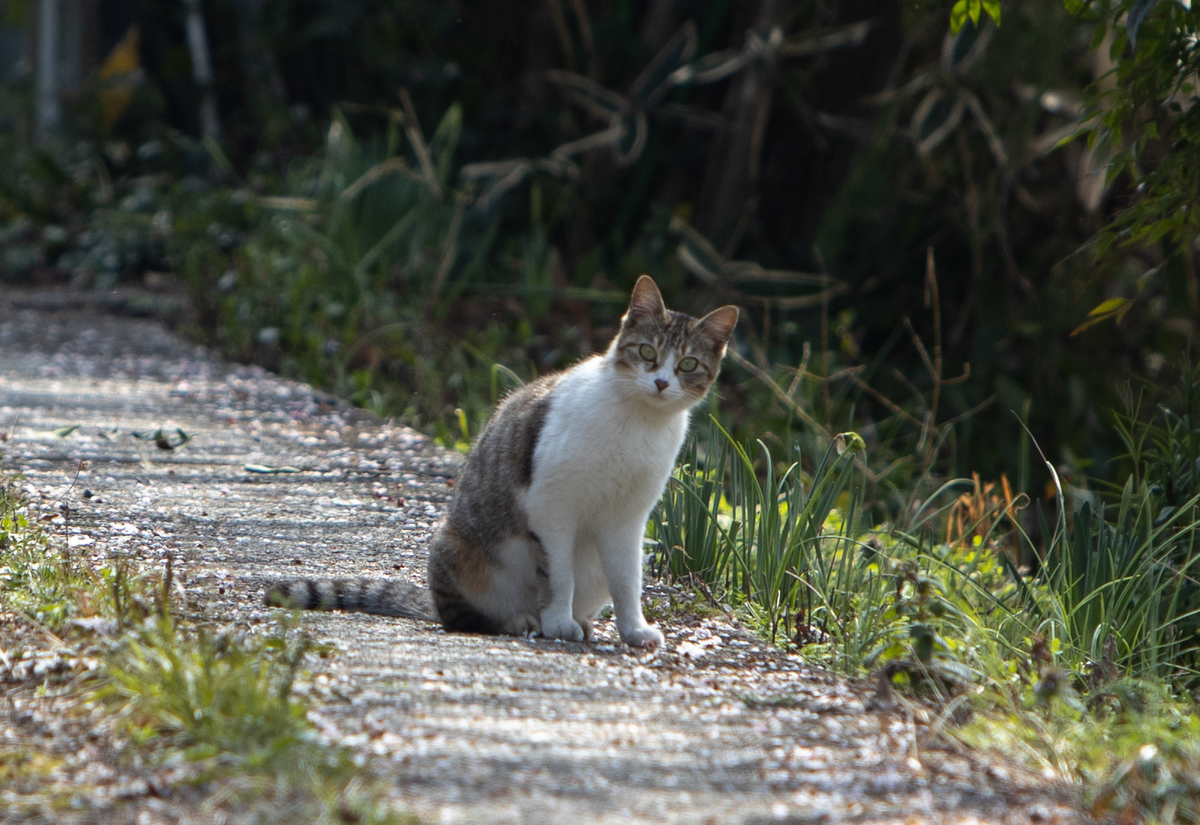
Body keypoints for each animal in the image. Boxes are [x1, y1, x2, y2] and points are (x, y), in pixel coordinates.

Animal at [270, 276, 739, 652]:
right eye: (646, 351)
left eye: (688, 364)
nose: (660, 383)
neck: (638, 420)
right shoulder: (552, 506)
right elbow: (559, 575)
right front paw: (558, 621)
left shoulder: (627, 521)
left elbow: (627, 583)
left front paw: (633, 630)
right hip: (458, 550)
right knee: (466, 617)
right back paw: (521, 620)